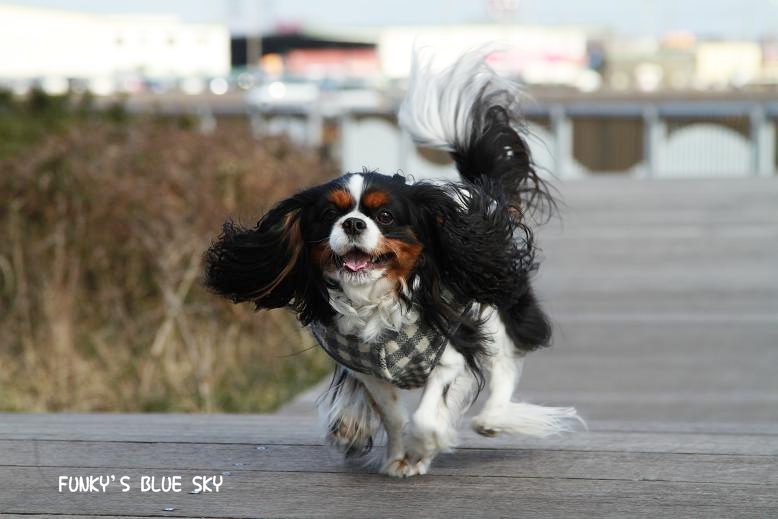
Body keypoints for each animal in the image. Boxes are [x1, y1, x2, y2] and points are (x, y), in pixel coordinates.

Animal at [203, 50, 580, 478]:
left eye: (384, 216)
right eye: (329, 215)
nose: (352, 223)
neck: (375, 299)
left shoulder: (451, 354)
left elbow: (428, 416)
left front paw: (423, 447)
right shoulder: (368, 371)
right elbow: (395, 416)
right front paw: (400, 455)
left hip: (494, 306)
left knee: (502, 369)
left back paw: (492, 420)